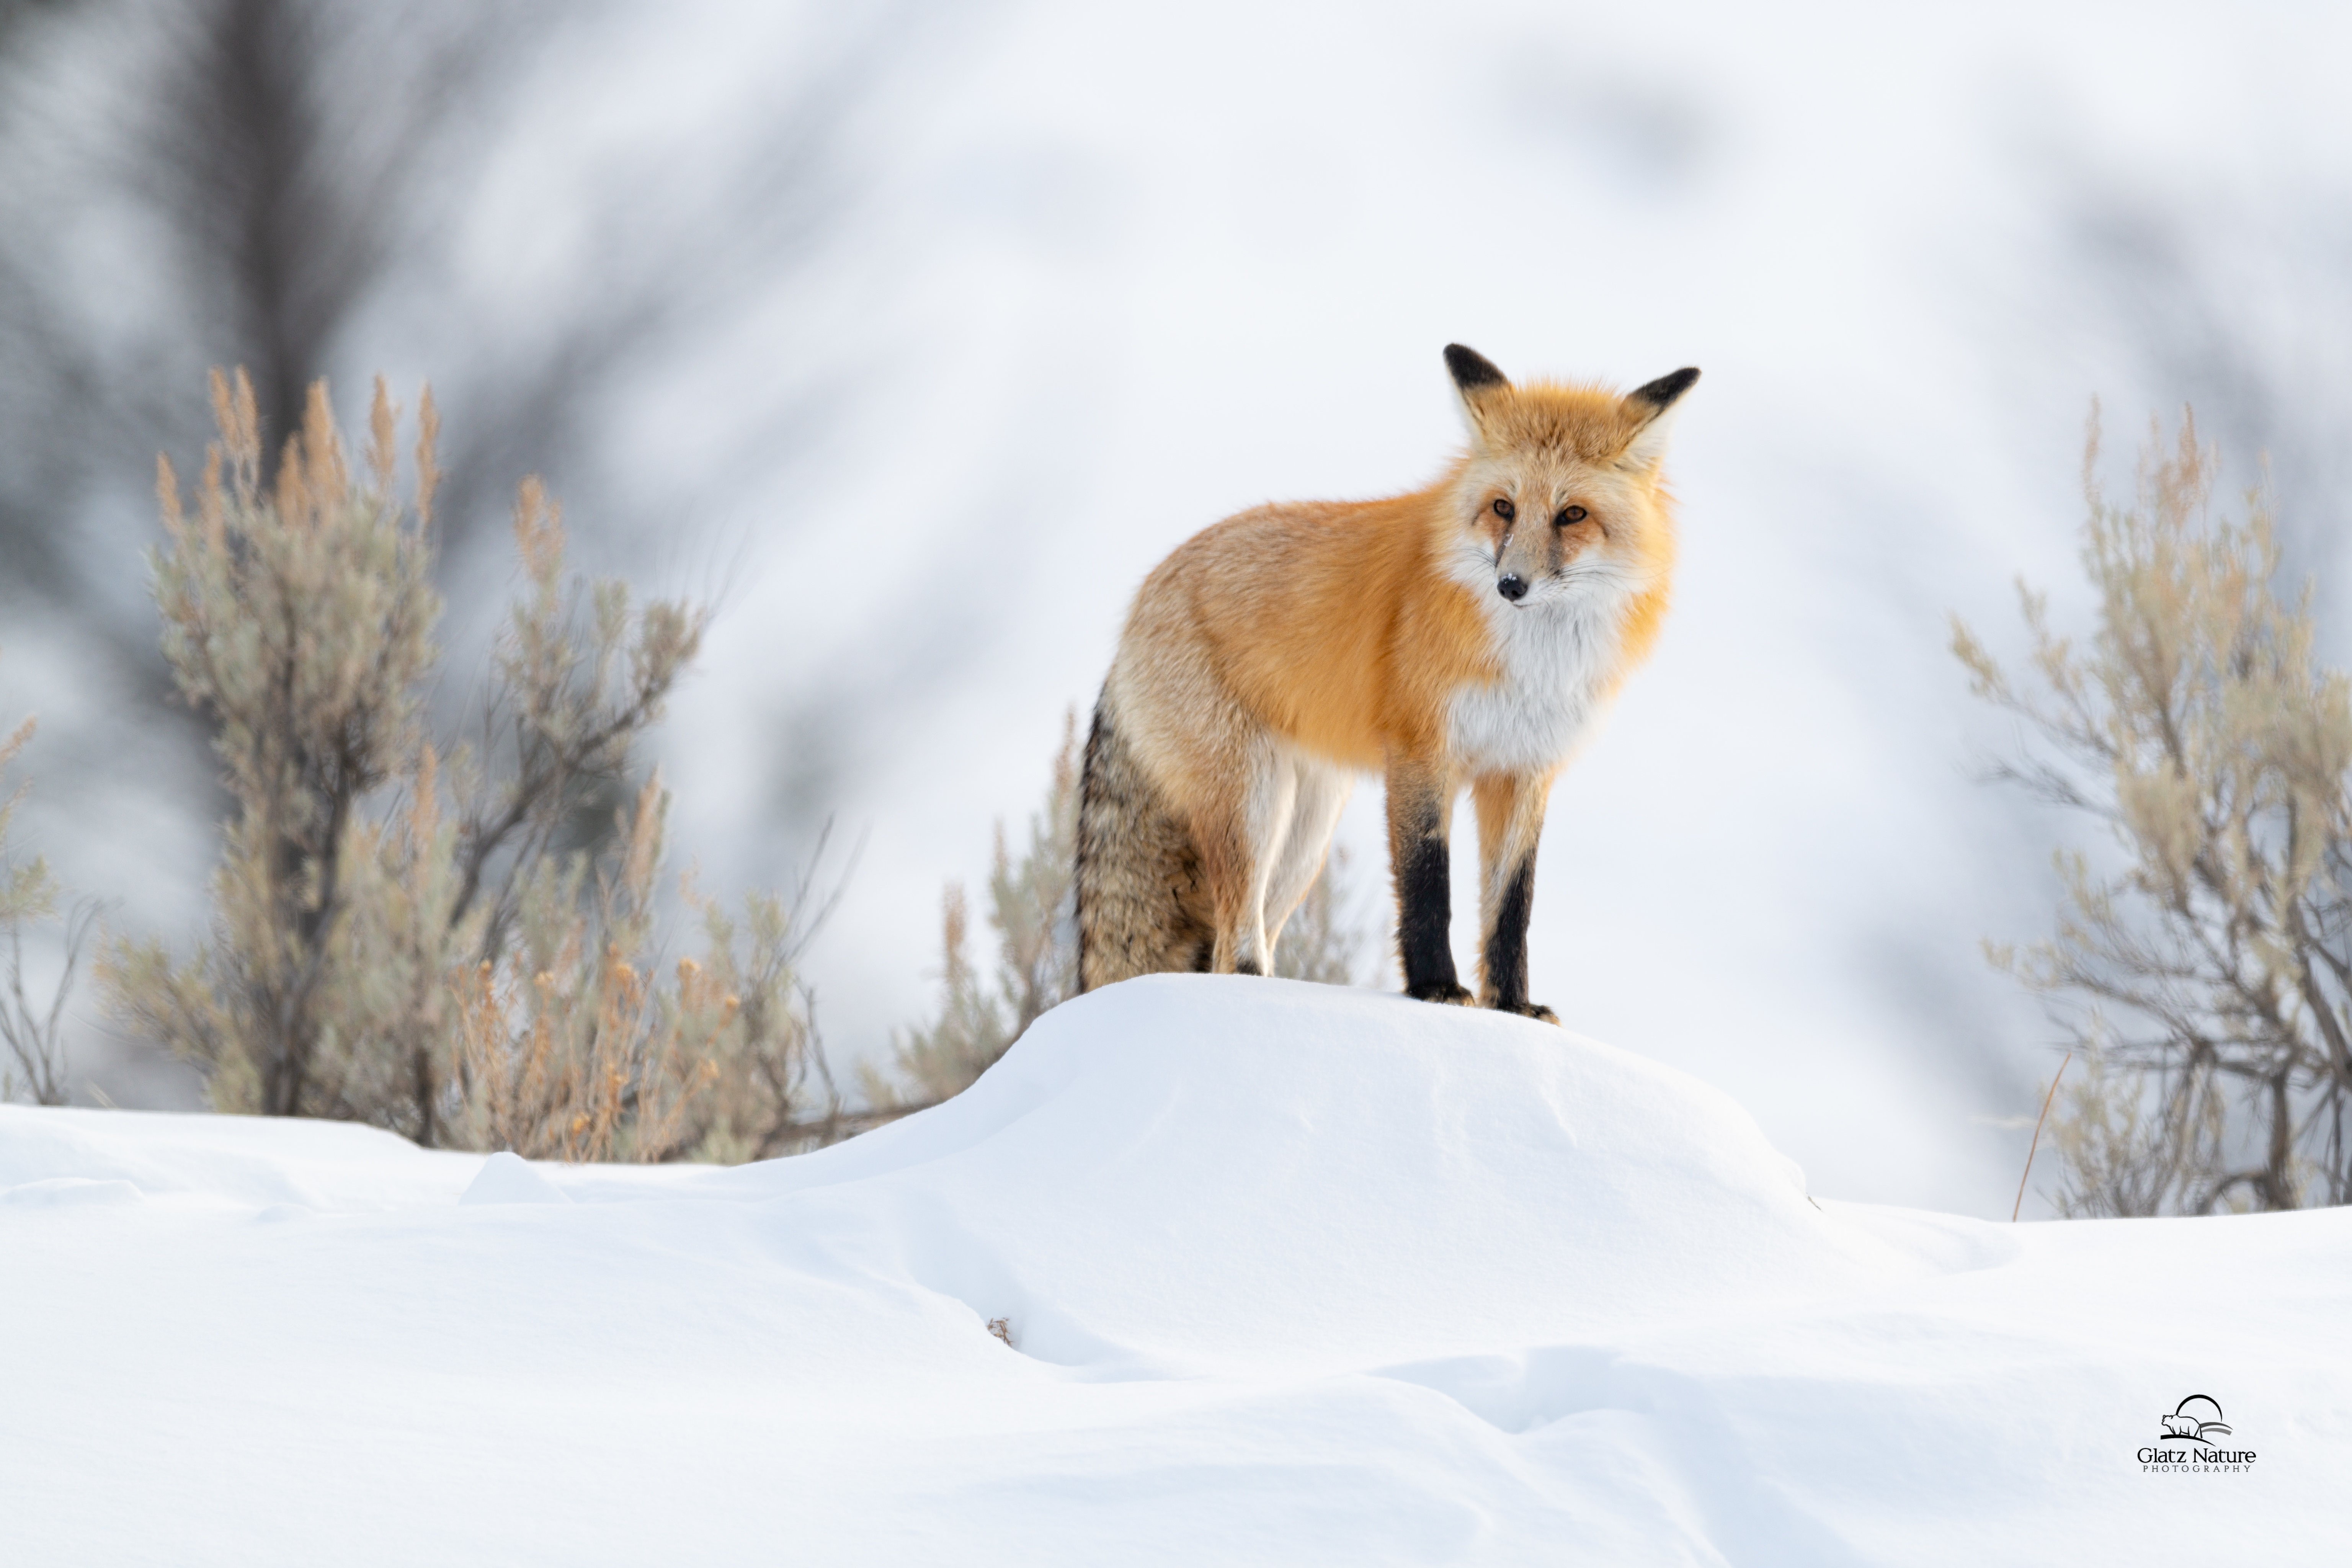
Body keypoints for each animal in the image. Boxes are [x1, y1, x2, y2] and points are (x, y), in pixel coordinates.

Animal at [1074, 344, 1696, 1020]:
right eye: (1504, 507)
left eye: (1573, 515)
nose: (1511, 585)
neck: (1534, 666)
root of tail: (1138, 601)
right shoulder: (1421, 752)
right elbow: (1428, 886)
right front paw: (1437, 990)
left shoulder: (1523, 770)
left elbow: (1512, 909)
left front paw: (1512, 1006)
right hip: (1255, 804)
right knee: (1234, 938)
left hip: (1306, 835)